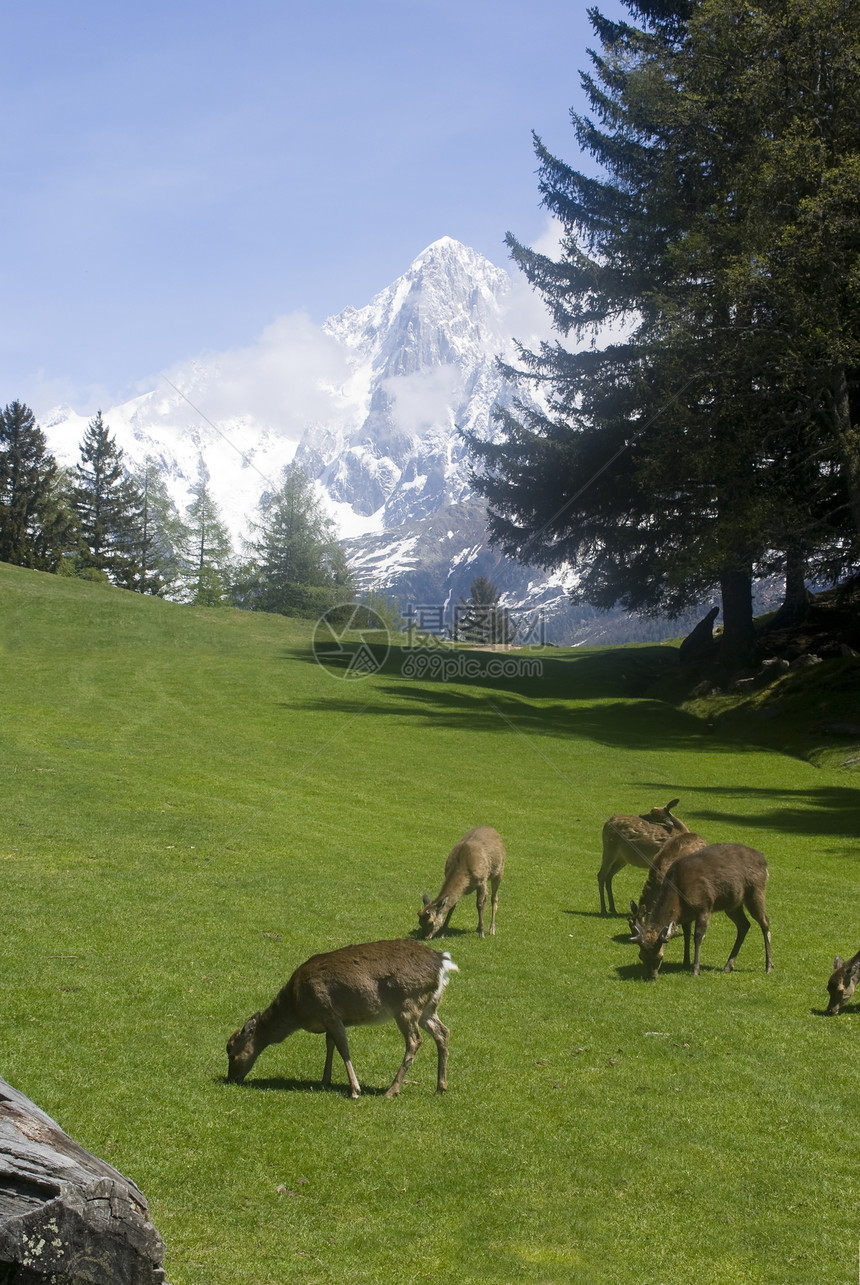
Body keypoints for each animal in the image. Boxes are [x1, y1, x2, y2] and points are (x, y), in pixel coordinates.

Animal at [226, 940, 455, 1099]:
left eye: (232, 1053)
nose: (231, 1079)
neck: (297, 1009)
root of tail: (443, 963)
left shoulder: (329, 1011)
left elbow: (343, 1047)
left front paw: (355, 1089)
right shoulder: (329, 1020)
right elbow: (330, 1044)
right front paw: (324, 1081)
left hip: (407, 1004)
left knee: (415, 1040)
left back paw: (392, 1090)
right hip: (428, 1008)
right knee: (443, 1032)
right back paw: (440, 1088)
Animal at [627, 848, 776, 976]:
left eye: (659, 957)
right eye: (641, 956)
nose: (651, 976)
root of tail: (763, 860)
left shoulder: (704, 906)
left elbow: (697, 936)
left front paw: (696, 969)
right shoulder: (686, 915)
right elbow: (687, 935)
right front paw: (685, 962)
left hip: (755, 891)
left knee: (765, 921)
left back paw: (769, 966)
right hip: (732, 904)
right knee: (744, 925)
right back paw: (728, 966)